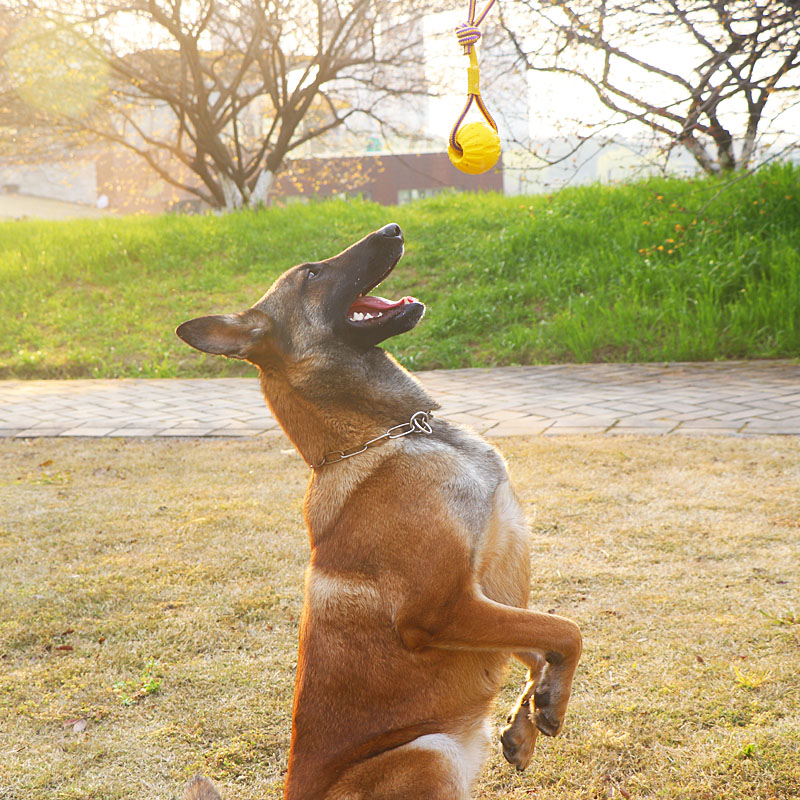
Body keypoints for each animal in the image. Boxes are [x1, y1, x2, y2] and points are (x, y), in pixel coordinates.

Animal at [177, 223, 580, 800]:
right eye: (312, 274)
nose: (393, 229)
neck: (389, 435)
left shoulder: (493, 596)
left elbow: (539, 642)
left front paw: (529, 716)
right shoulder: (443, 609)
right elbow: (566, 630)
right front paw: (550, 705)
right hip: (430, 754)